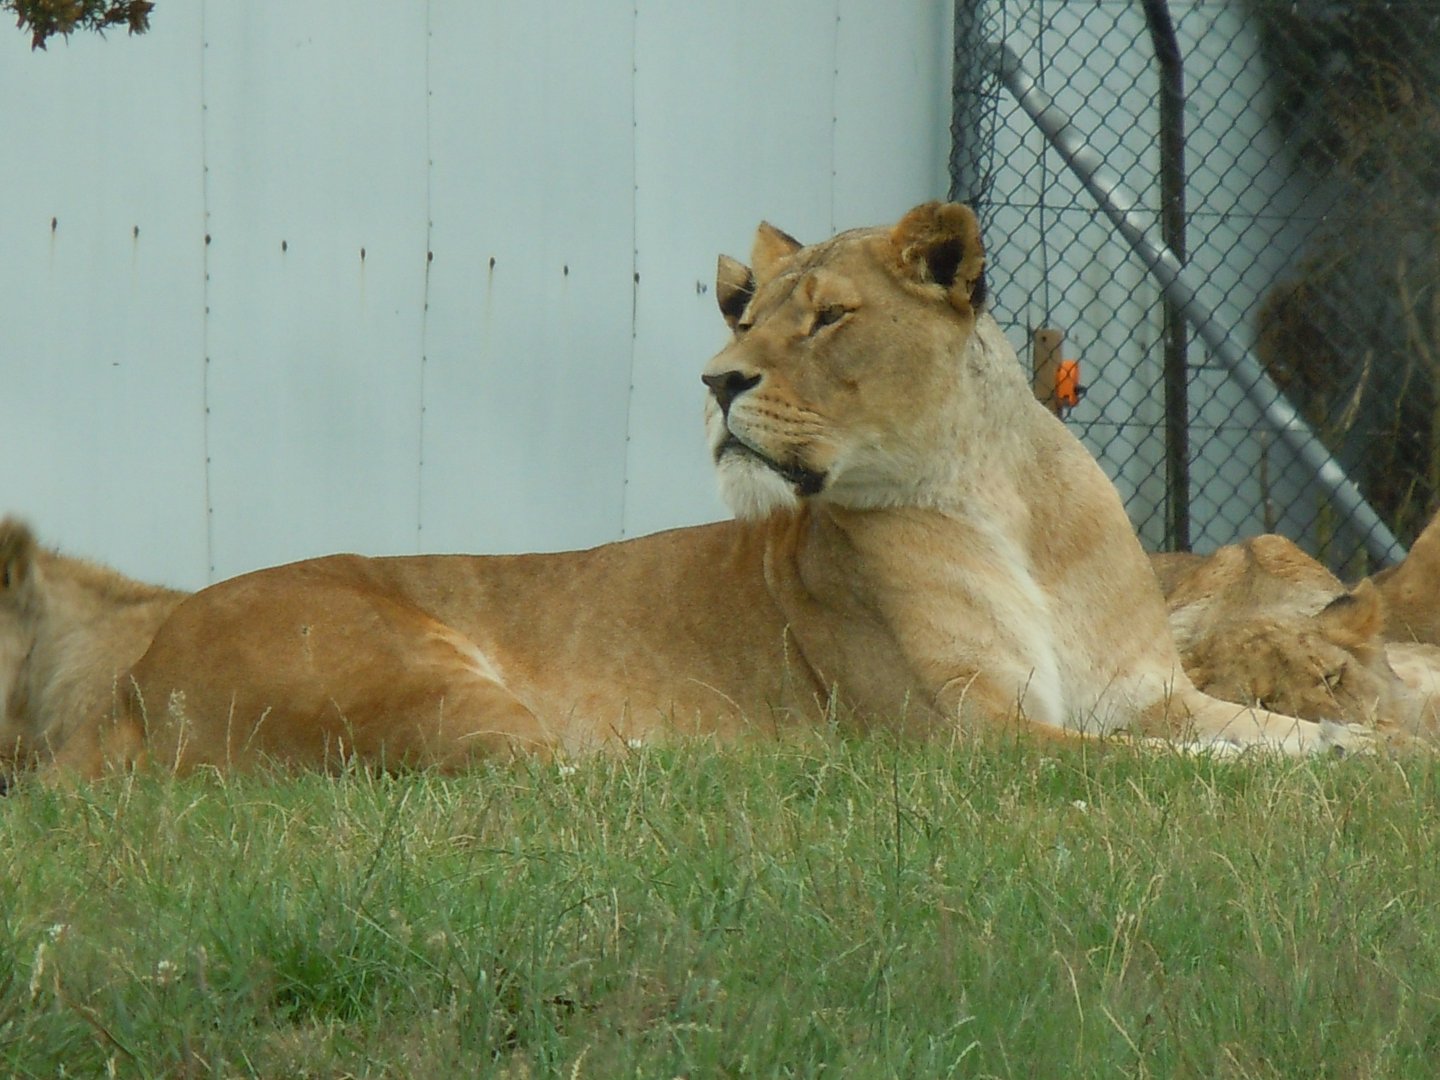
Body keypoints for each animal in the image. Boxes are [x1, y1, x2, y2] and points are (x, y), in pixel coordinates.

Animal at [43, 202, 1366, 779]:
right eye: (743, 314)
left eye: (825, 317)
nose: (717, 379)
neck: (1006, 502)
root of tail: (137, 671)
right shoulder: (967, 730)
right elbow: (1175, 771)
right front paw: (1299, 787)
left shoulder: (1149, 690)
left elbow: (1282, 731)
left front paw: (1368, 752)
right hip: (414, 672)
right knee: (559, 775)